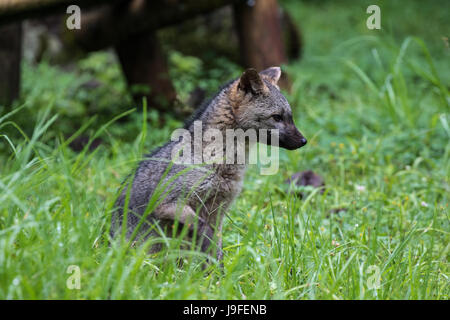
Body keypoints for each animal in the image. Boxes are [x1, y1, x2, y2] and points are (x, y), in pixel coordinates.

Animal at [110, 66, 306, 262]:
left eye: (290, 117)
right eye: (277, 117)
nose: (304, 141)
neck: (218, 161)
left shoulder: (217, 213)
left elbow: (216, 250)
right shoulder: (167, 203)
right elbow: (202, 230)